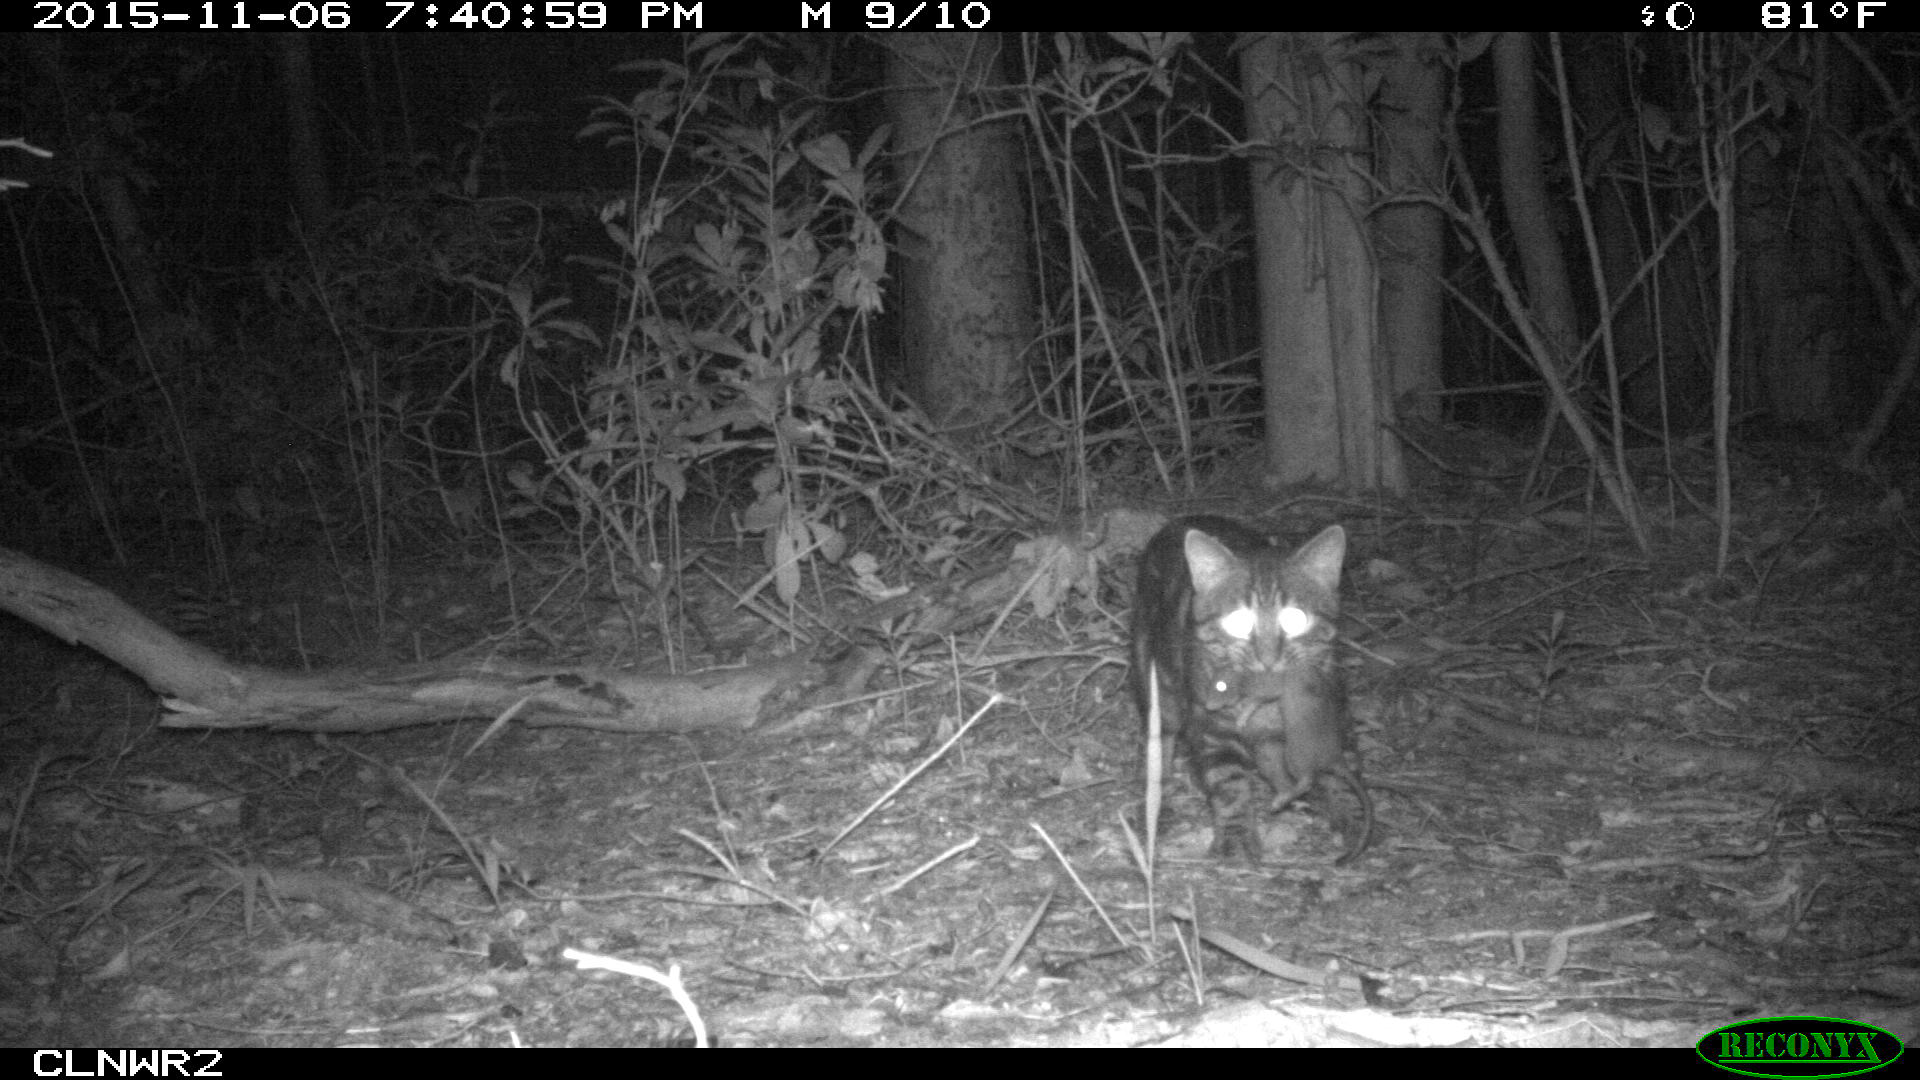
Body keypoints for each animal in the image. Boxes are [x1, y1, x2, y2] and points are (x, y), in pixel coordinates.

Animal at [1128, 518, 1374, 860]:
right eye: (1238, 621)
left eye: (1295, 619)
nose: (1268, 656)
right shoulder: (1214, 730)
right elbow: (1230, 785)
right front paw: (1236, 836)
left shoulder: (1334, 714)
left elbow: (1341, 774)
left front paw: (1353, 818)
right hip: (1158, 684)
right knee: (1161, 741)